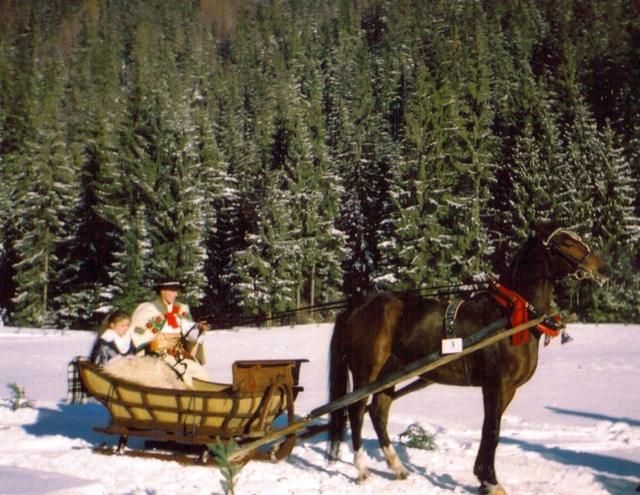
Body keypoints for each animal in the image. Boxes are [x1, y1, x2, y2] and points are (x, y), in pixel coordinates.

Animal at [328, 225, 612, 495]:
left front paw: (483, 479)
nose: (604, 268)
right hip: (367, 372)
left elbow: (490, 430)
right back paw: (362, 470)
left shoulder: (508, 390)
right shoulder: (496, 385)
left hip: (390, 373)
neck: (510, 315)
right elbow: (492, 431)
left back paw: (397, 467)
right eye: (566, 242)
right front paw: (490, 482)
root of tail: (357, 305)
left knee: (378, 412)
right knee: (356, 411)